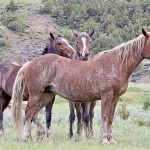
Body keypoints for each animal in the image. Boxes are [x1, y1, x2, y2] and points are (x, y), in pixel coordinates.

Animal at [11, 28, 150, 144]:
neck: (115, 64)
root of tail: (30, 63)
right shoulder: (106, 95)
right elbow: (104, 116)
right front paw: (103, 139)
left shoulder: (115, 97)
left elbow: (110, 118)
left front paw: (110, 139)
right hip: (36, 94)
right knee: (28, 112)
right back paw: (26, 137)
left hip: (47, 96)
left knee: (33, 114)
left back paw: (37, 134)